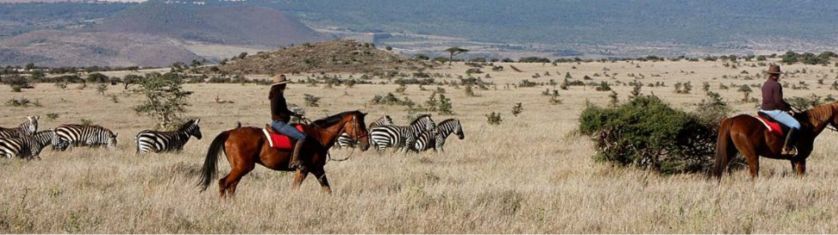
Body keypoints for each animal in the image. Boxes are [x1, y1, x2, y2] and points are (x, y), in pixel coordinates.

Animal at [199, 110, 370, 196]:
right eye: (359, 125)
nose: (366, 144)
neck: (318, 136)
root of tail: (229, 132)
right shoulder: (307, 169)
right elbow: (297, 189)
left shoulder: (314, 170)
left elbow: (327, 189)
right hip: (243, 167)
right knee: (224, 183)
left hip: (239, 168)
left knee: (231, 186)